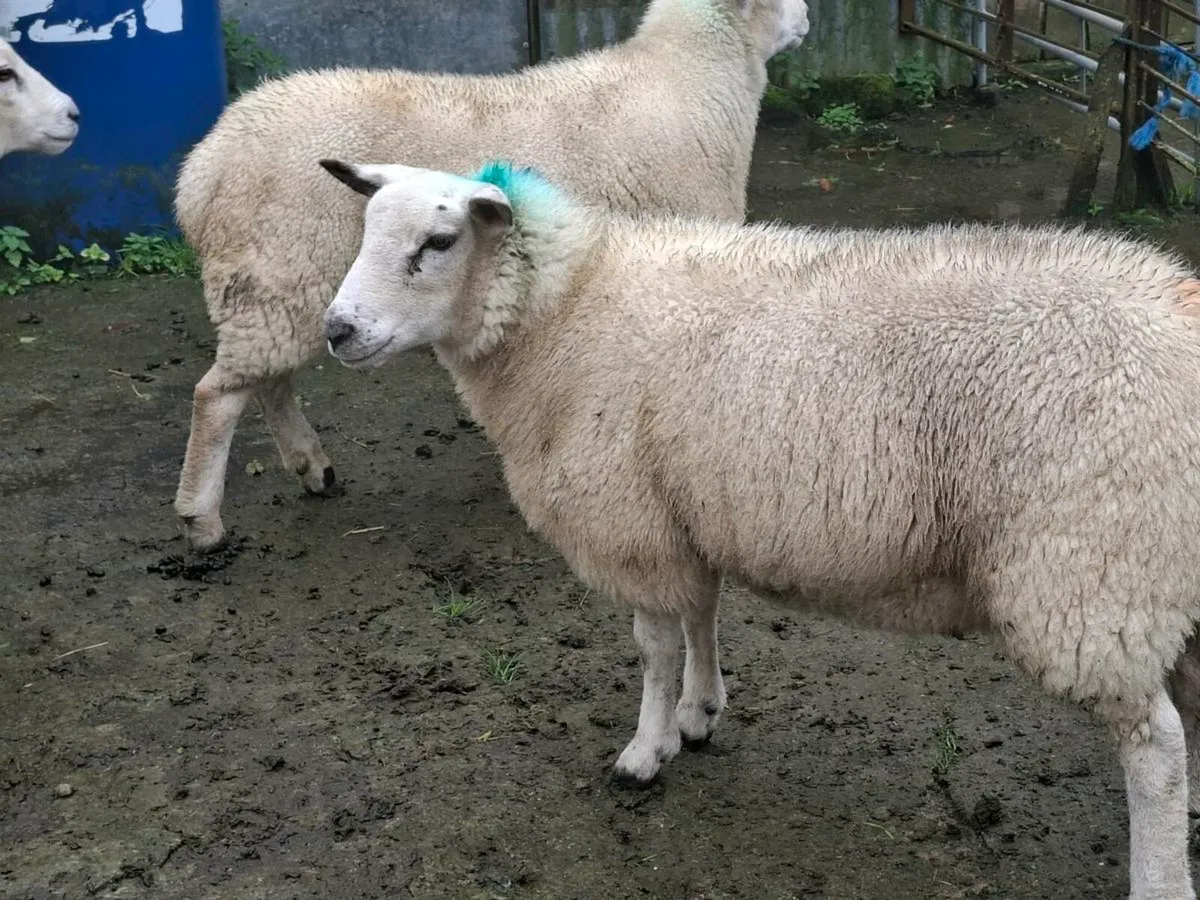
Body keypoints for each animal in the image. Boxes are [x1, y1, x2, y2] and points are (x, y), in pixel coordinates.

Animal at [171, 0, 811, 553]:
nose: (807, 16)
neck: (691, 78)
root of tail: (201, 169)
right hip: (280, 269)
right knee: (217, 395)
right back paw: (202, 519)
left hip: (272, 288)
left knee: (267, 380)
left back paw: (313, 468)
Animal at [318, 157, 1200, 899]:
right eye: (363, 230)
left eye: (437, 242)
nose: (337, 330)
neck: (564, 309)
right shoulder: (683, 511)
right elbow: (701, 615)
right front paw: (700, 713)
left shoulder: (630, 520)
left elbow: (654, 647)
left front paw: (645, 752)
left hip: (1096, 566)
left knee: (1154, 745)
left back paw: (1160, 877)